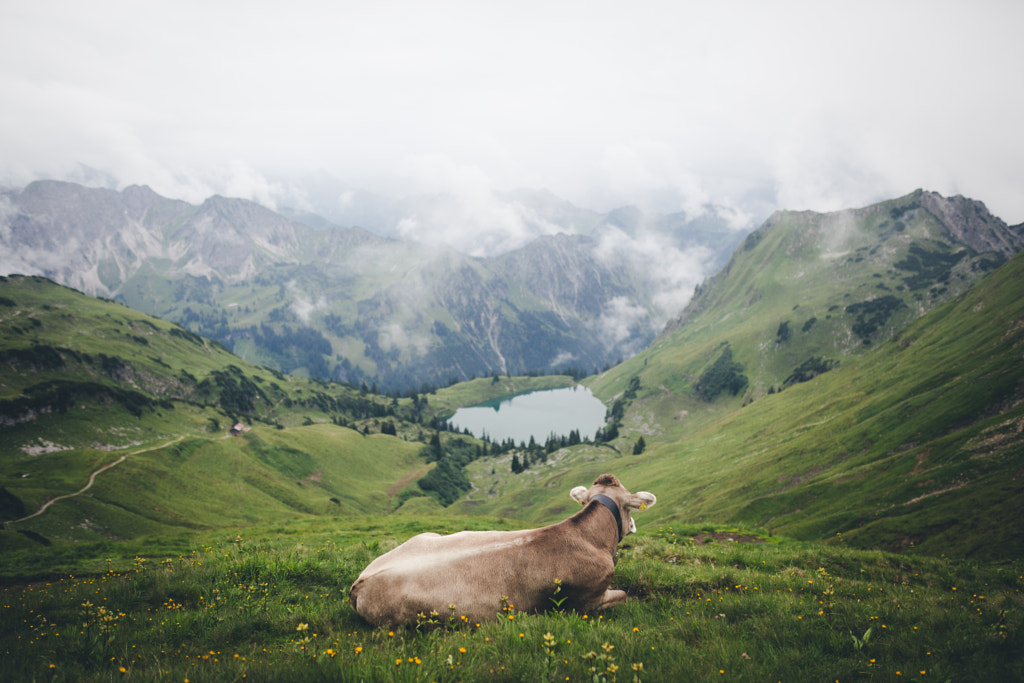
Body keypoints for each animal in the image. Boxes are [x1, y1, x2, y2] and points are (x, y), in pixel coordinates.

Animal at [348, 475, 659, 626]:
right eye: (630, 506)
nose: (633, 527)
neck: (588, 537)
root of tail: (359, 582)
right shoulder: (587, 602)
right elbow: (624, 594)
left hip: (424, 536)